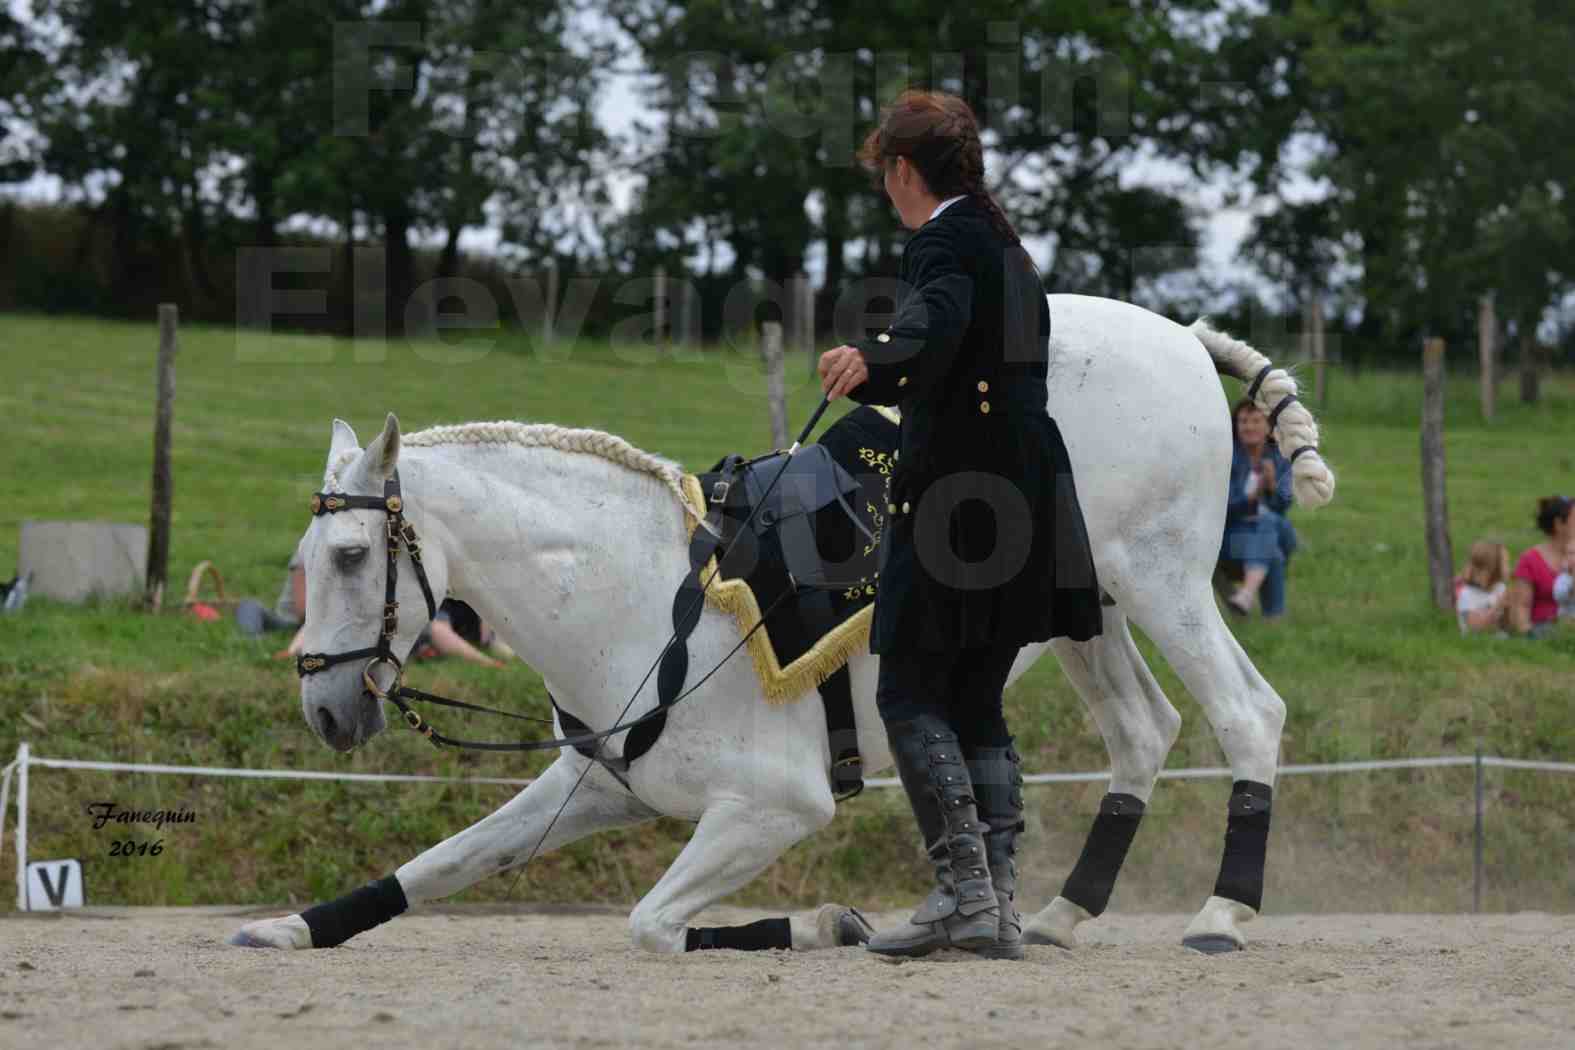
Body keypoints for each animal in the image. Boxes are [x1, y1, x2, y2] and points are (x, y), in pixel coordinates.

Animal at [236, 295, 1329, 963]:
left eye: (348, 557)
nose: (324, 708)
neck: (640, 604)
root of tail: (1178, 334)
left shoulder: (772, 807)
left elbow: (651, 923)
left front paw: (825, 922)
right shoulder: (590, 788)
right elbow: (441, 865)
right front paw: (290, 926)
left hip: (1160, 580)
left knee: (1247, 714)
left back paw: (1223, 912)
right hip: (1086, 612)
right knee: (1144, 731)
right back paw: (1063, 912)